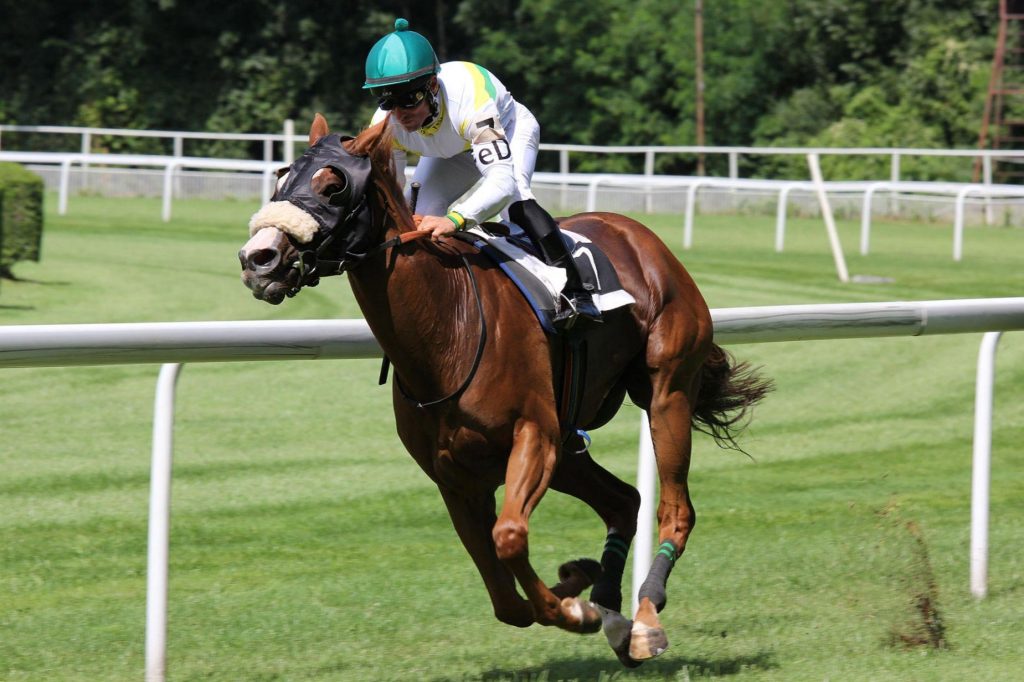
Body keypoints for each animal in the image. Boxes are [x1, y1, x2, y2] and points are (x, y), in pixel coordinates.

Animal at [237, 112, 770, 663]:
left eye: (334, 185)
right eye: (281, 178)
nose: (258, 259)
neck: (447, 328)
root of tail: (641, 235)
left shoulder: (533, 436)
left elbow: (510, 537)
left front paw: (575, 609)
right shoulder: (455, 476)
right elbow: (504, 596)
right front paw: (579, 587)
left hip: (666, 392)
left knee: (675, 508)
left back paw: (644, 619)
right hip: (569, 445)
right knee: (624, 501)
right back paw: (611, 611)